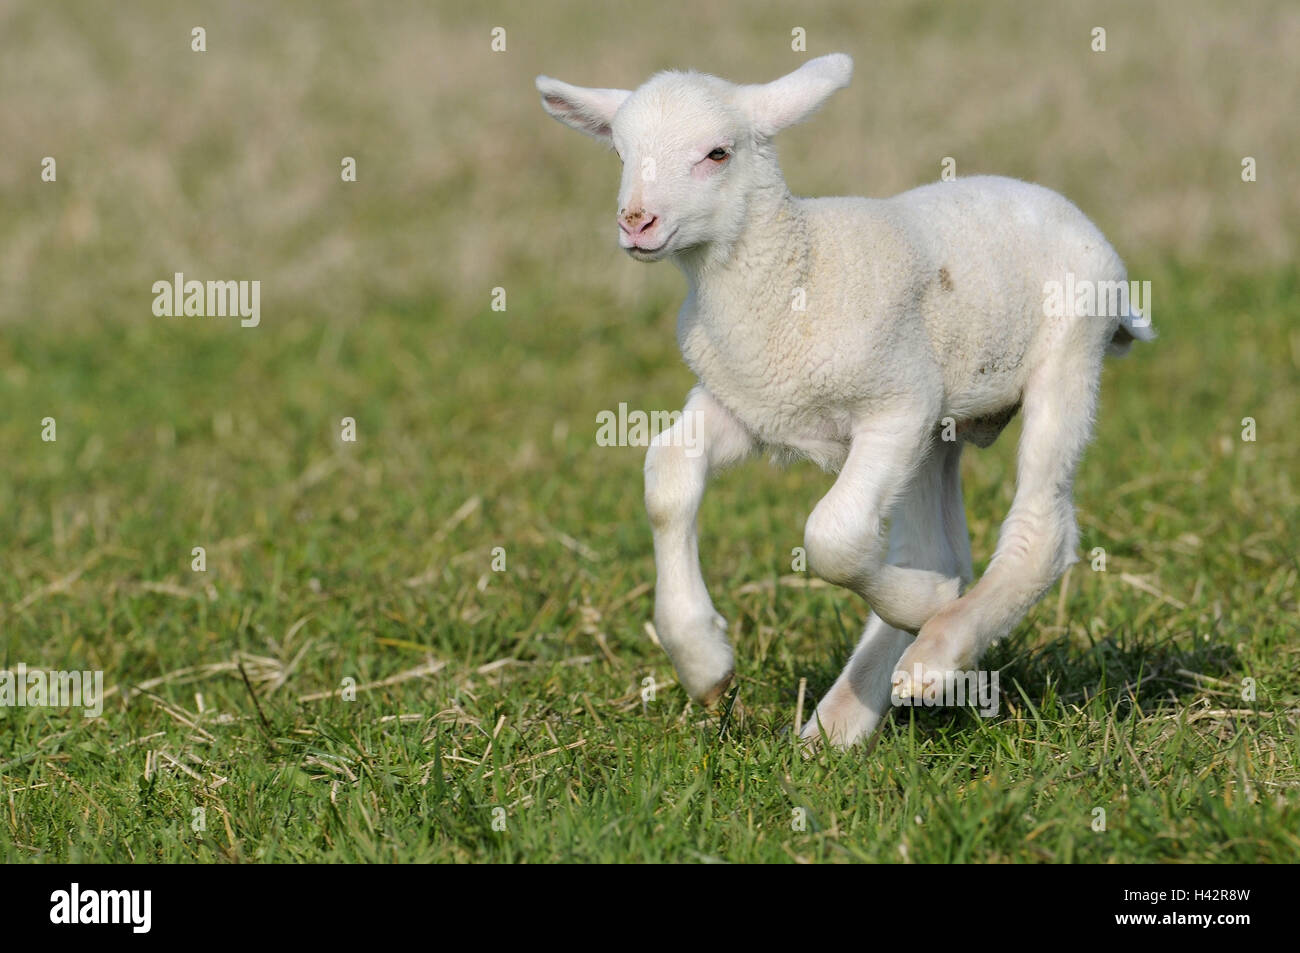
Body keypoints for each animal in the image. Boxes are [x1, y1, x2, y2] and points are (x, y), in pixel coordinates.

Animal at [533, 53, 1154, 748]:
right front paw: (703, 661)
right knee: (938, 548)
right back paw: (840, 723)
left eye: (718, 153)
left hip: (1067, 352)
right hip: (937, 427)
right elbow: (666, 476)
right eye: (620, 153)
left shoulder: (895, 406)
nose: (636, 222)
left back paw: (935, 650)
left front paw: (926, 602)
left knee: (1042, 527)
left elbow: (832, 535)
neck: (795, 272)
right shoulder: (747, 403)